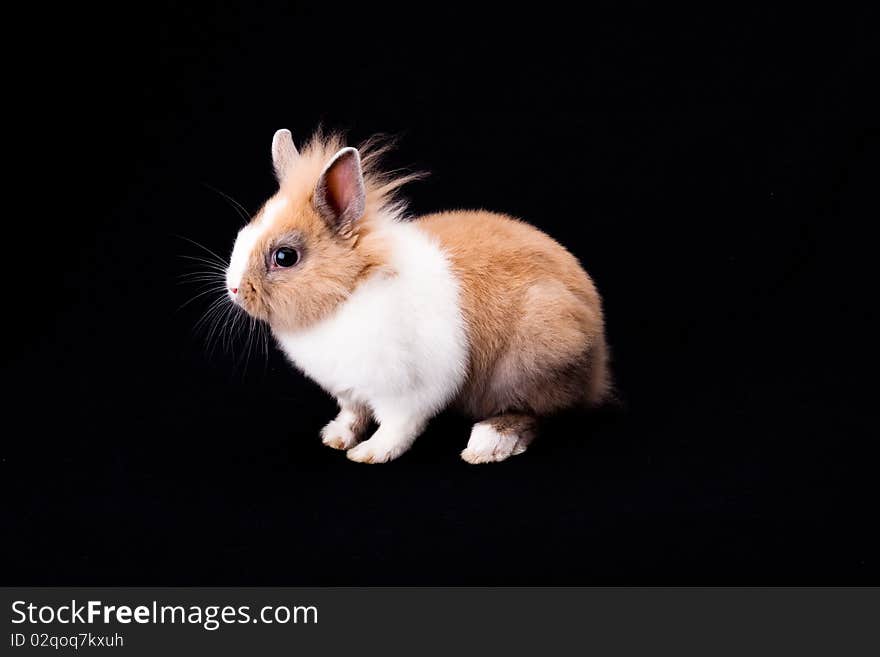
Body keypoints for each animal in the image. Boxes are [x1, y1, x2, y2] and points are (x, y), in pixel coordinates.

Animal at [225, 131, 612, 464]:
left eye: (285, 256)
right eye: (244, 232)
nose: (234, 289)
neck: (349, 291)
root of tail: (597, 364)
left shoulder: (407, 392)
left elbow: (398, 427)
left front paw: (370, 453)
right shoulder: (349, 391)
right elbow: (352, 415)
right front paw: (335, 437)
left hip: (536, 356)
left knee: (538, 413)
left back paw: (487, 443)